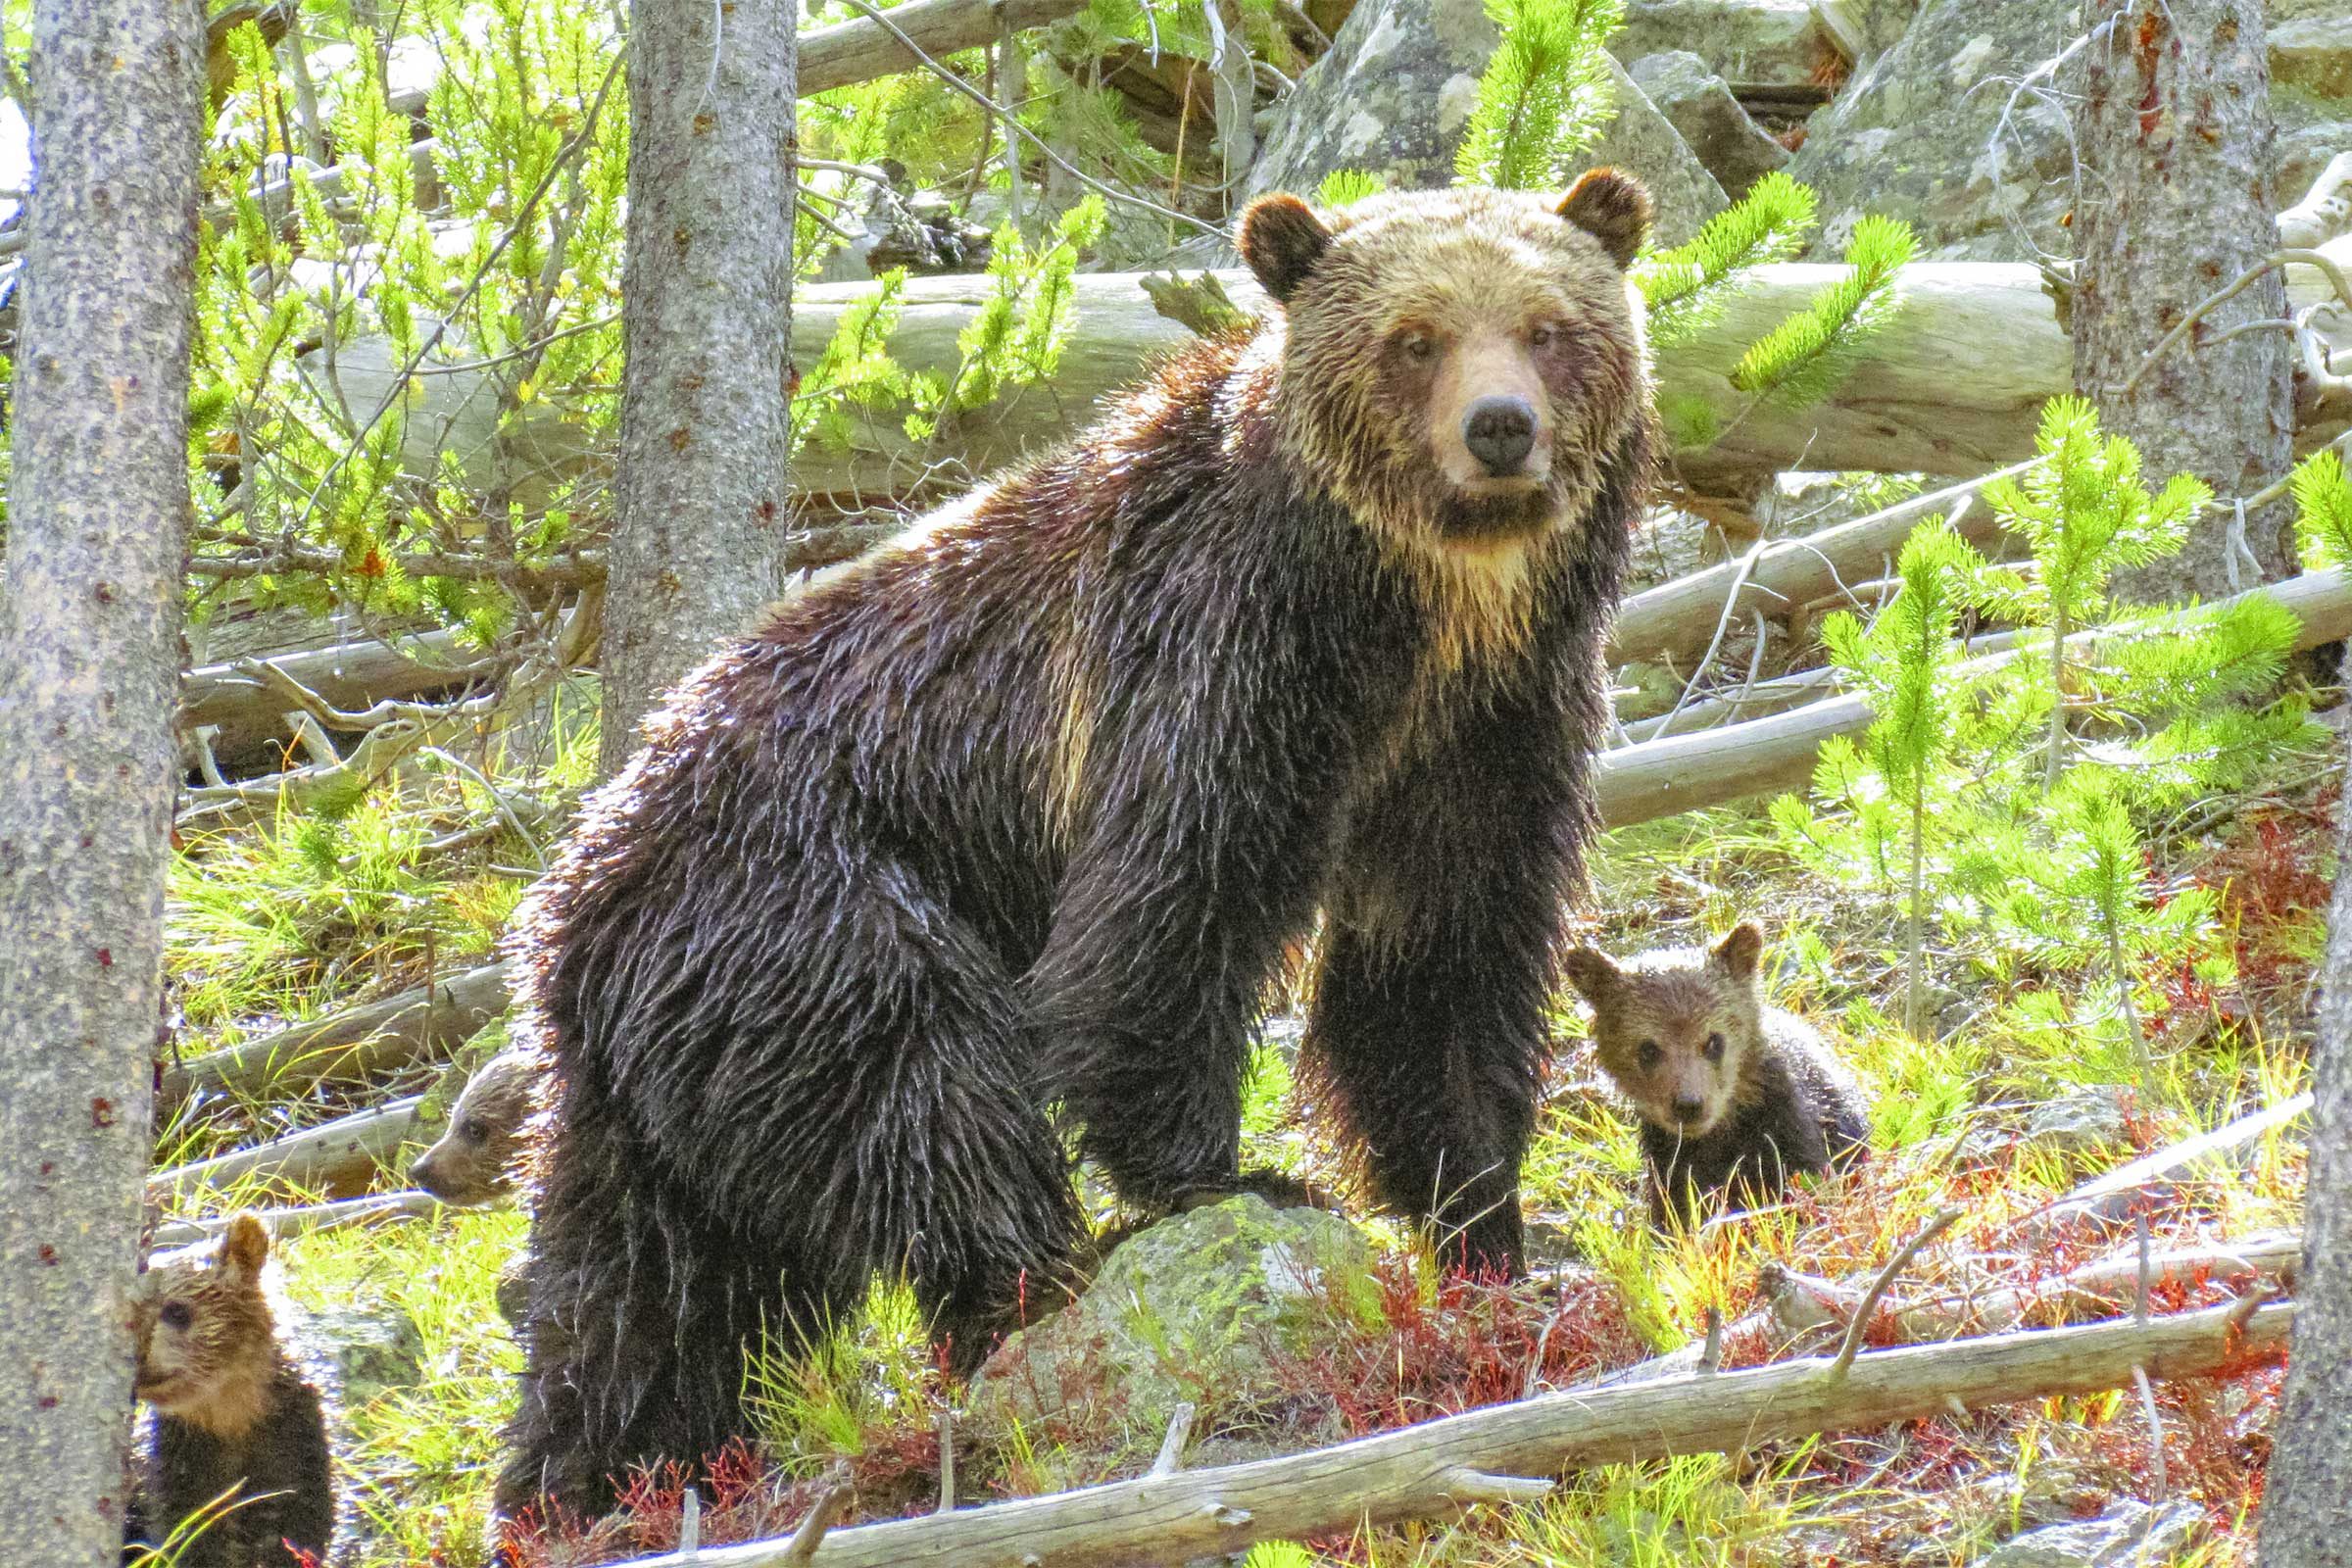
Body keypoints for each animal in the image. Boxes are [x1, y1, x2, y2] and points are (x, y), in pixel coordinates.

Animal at [501, 174, 1655, 1523]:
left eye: (1547, 326)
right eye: (1413, 338)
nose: (1500, 430)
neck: (1406, 621)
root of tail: (575, 891)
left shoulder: (1485, 740)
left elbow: (1441, 966)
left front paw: (1489, 1223)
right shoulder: (1209, 664)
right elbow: (1167, 909)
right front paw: (1232, 1180)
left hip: (669, 1073)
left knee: (646, 1291)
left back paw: (595, 1476)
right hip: (806, 913)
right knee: (925, 1089)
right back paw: (1028, 1291)